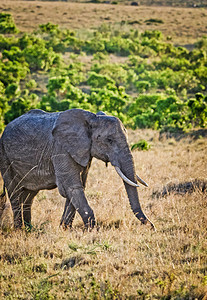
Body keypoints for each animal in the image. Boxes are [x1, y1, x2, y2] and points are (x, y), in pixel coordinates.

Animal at [0, 108, 155, 230]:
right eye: (109, 140)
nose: (152, 227)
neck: (92, 118)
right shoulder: (61, 149)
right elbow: (73, 187)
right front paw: (92, 230)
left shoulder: (84, 152)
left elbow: (79, 186)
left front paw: (64, 229)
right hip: (4, 156)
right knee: (14, 191)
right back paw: (19, 230)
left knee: (29, 195)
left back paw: (29, 230)